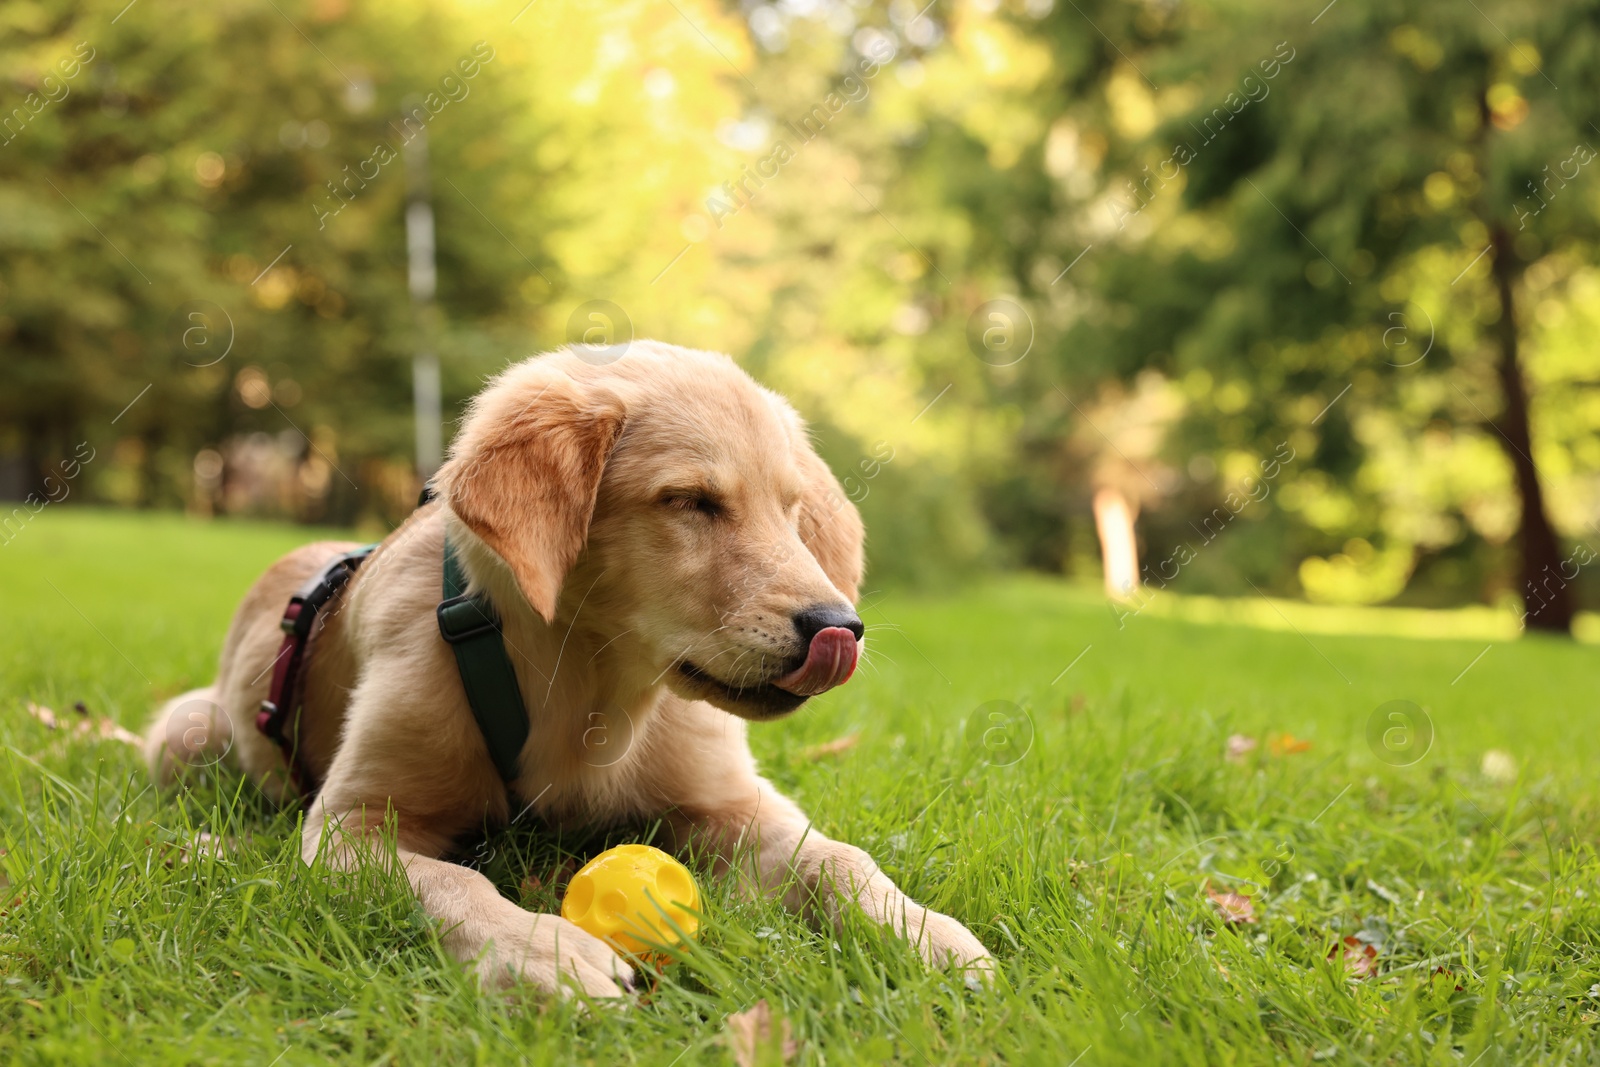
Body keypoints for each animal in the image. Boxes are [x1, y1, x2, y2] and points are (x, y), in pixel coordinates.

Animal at [147, 343, 985, 1004]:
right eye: (690, 501)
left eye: (792, 509)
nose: (838, 627)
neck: (598, 682)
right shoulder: (351, 822)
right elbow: (450, 880)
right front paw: (541, 953)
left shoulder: (734, 803)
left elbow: (839, 858)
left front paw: (926, 933)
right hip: (186, 734)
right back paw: (210, 845)